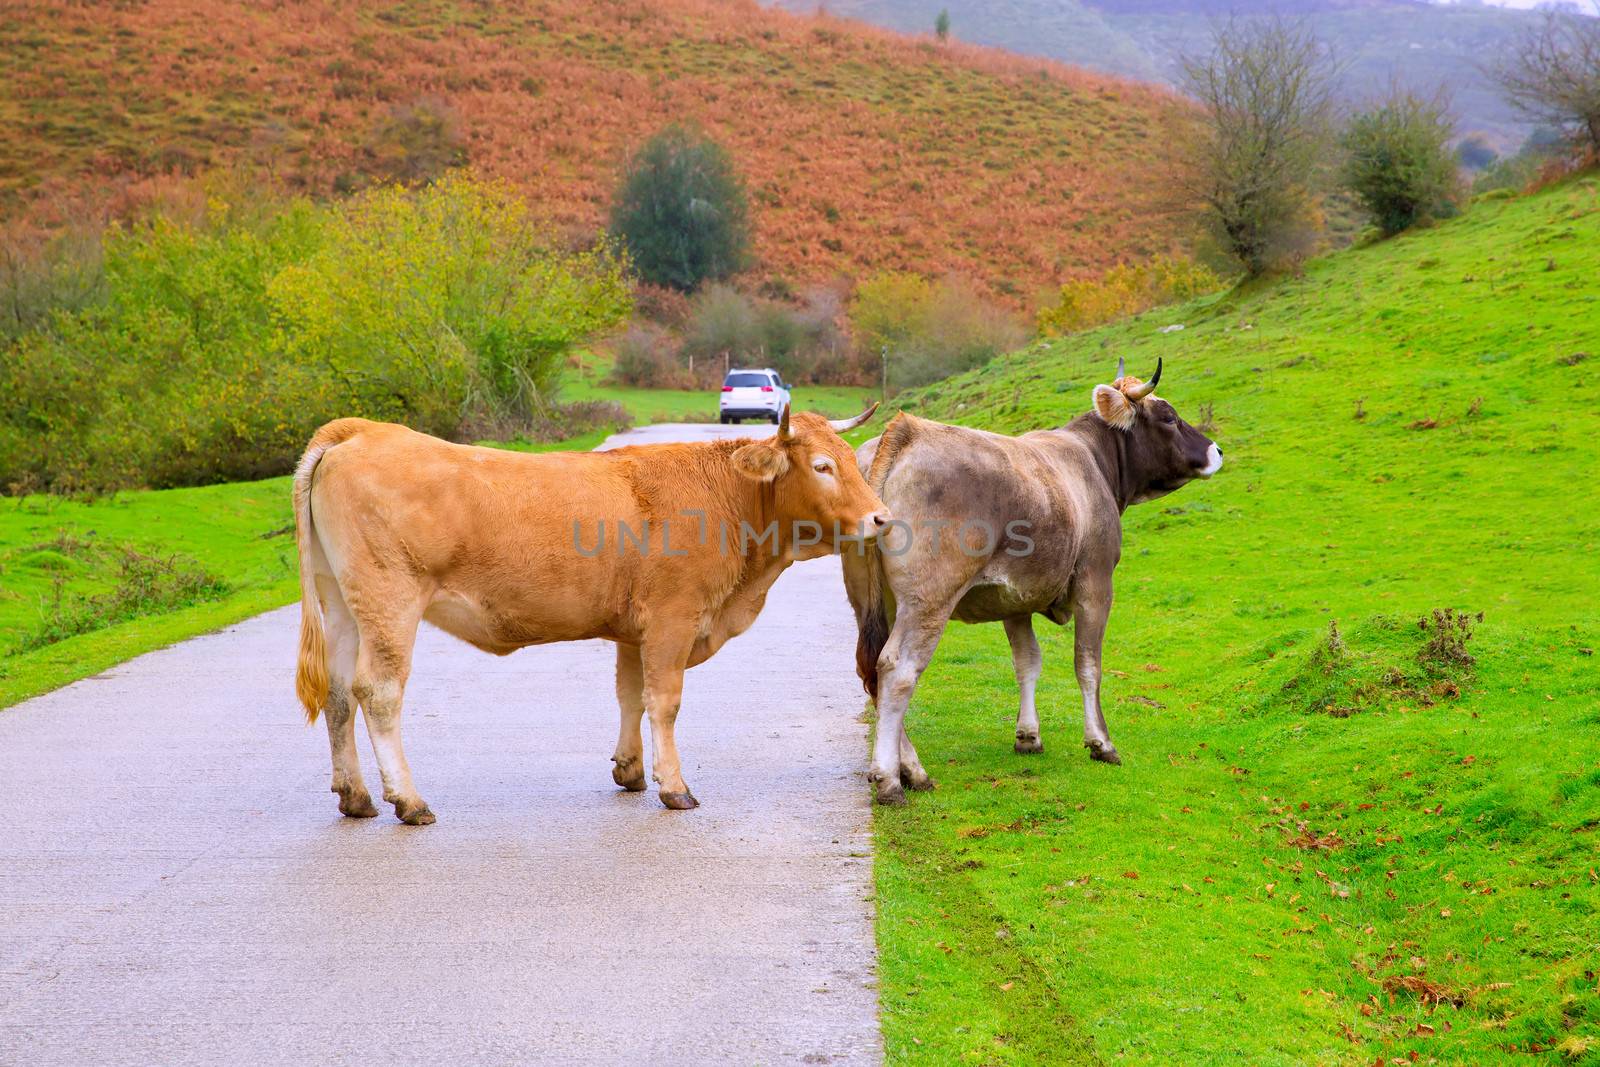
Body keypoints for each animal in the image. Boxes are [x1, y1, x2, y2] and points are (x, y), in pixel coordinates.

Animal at [291, 404, 889, 825]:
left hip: (342, 604)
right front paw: (674, 787)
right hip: (390, 602)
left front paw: (631, 771)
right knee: (378, 693)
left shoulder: (633, 628)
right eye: (822, 466)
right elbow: (664, 702)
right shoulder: (672, 619)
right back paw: (408, 800)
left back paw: (356, 796)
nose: (881, 518)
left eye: (852, 459)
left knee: (340, 695)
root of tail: (362, 431)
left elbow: (631, 695)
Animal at [844, 363, 1216, 806]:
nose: (1215, 450)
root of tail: (907, 430)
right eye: (1169, 417)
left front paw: (1028, 736)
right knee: (896, 669)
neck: (1091, 461)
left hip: (874, 600)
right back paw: (892, 779)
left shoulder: (1013, 599)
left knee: (873, 670)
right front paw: (1101, 743)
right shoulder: (1095, 583)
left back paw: (910, 767)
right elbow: (1088, 665)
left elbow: (1027, 662)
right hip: (928, 599)